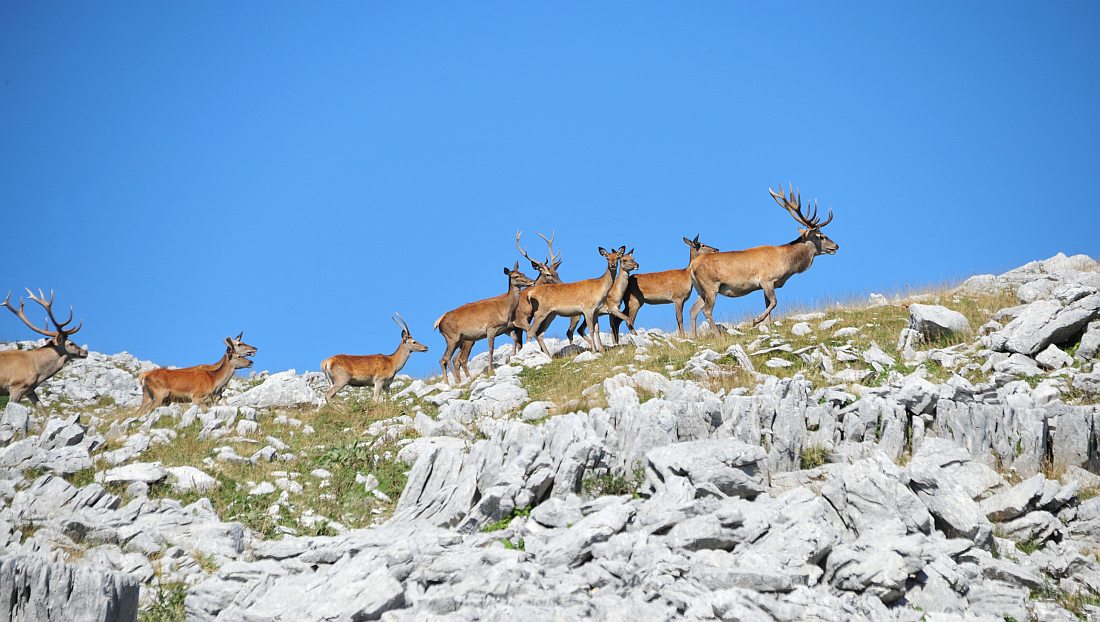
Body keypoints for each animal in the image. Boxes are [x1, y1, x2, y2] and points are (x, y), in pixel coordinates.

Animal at [448, 230, 563, 380]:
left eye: (557, 272)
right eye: (548, 274)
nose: (561, 284)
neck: (527, 302)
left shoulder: (515, 326)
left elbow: (519, 342)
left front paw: (517, 356)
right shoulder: (519, 321)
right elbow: (532, 335)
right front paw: (544, 355)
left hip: (463, 340)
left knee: (456, 359)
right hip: (468, 339)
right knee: (461, 359)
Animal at [690, 182, 836, 334]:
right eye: (821, 236)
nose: (836, 246)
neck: (786, 262)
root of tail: (692, 266)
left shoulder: (765, 285)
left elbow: (769, 307)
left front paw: (768, 327)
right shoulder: (767, 280)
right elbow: (774, 302)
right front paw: (756, 320)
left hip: (700, 290)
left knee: (693, 310)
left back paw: (694, 336)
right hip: (711, 286)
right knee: (706, 310)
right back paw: (718, 335)